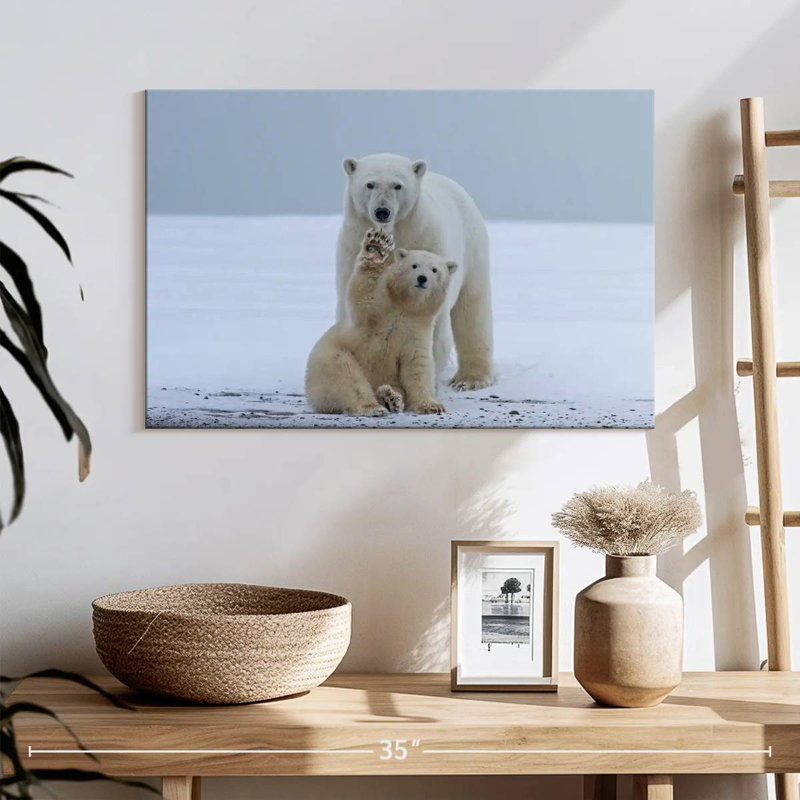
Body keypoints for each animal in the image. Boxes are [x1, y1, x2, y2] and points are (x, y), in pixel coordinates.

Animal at [306, 228, 457, 416]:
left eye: (435, 270)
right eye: (414, 265)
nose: (422, 278)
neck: (405, 306)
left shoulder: (417, 329)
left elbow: (417, 365)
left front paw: (431, 405)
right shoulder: (379, 311)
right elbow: (364, 297)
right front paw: (376, 246)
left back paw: (391, 398)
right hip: (330, 357)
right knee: (347, 376)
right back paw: (373, 406)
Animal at [335, 152, 494, 391]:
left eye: (398, 185)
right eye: (370, 184)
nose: (382, 211)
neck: (394, 232)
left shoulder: (425, 239)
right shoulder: (352, 246)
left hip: (473, 249)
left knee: (472, 309)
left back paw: (471, 378)